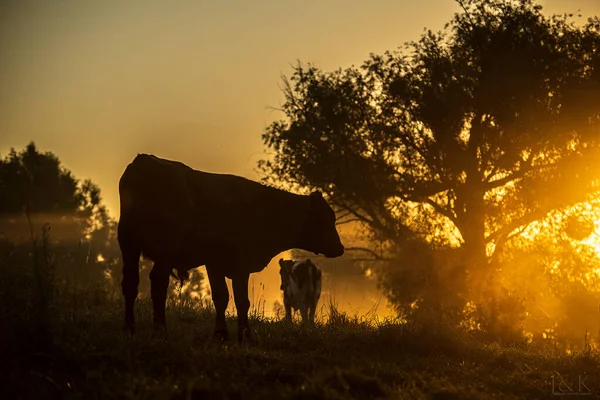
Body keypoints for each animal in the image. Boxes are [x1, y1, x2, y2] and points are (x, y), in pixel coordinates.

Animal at [117, 155, 344, 342]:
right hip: (163, 251)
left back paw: (129, 328)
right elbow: (241, 300)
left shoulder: (215, 263)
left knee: (130, 283)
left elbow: (221, 297)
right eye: (324, 219)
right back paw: (160, 330)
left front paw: (221, 334)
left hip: (129, 245)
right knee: (158, 284)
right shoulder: (237, 264)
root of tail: (143, 161)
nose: (340, 248)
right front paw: (244, 335)